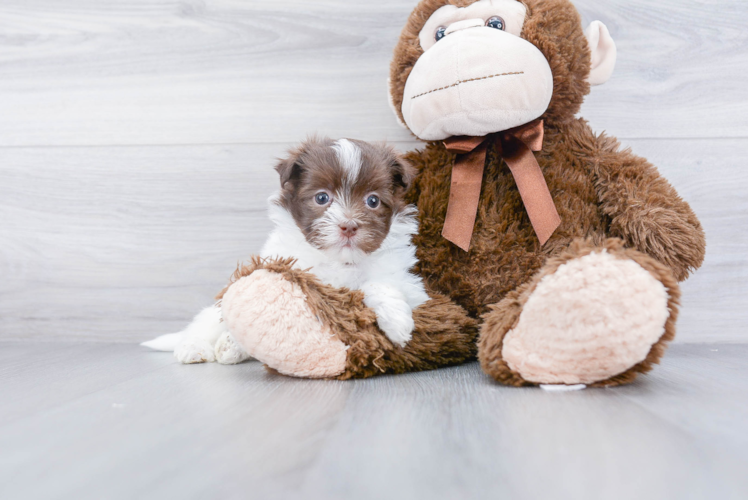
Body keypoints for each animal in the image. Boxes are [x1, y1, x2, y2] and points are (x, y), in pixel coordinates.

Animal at [142, 137, 430, 364]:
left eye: (372, 201)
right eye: (322, 197)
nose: (348, 226)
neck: (339, 261)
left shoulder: (407, 282)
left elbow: (379, 284)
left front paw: (396, 321)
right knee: (206, 324)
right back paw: (197, 347)